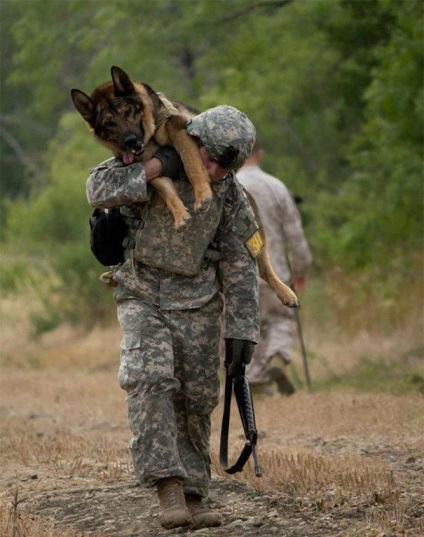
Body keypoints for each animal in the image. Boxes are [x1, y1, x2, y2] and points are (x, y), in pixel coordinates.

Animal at [70, 67, 298, 308]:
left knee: (263, 264)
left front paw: (202, 195)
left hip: (253, 225)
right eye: (109, 123)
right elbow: (167, 191)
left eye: (128, 111)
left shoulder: (180, 134)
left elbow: (190, 165)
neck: (151, 136)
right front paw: (180, 214)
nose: (131, 142)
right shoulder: (153, 166)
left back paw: (285, 292)